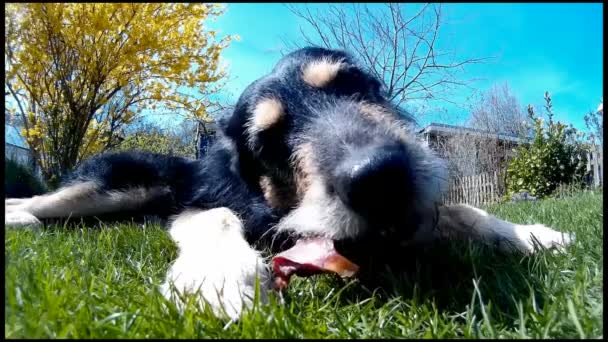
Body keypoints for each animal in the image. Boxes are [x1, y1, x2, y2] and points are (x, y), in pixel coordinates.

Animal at [4, 47, 572, 320]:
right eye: (270, 142)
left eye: (355, 84)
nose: (380, 176)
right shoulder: (203, 206)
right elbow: (218, 216)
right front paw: (220, 279)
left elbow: (460, 210)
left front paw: (529, 234)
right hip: (117, 183)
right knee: (43, 198)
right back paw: (21, 217)